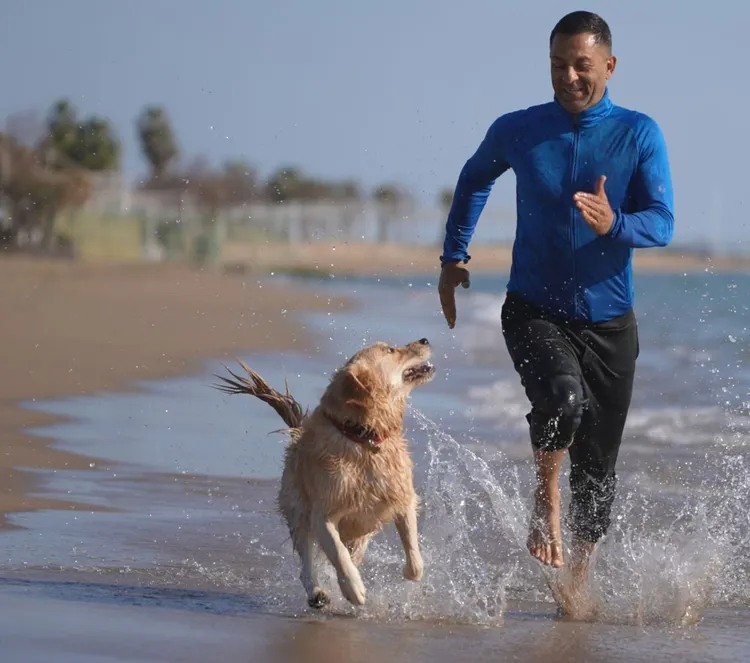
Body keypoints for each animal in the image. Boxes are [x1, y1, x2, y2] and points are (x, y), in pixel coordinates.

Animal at [214, 340, 438, 608]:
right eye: (390, 351)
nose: (425, 340)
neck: (362, 439)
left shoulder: (403, 498)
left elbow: (413, 551)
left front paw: (409, 572)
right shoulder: (322, 515)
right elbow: (338, 554)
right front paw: (353, 588)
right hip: (298, 511)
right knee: (307, 565)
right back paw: (317, 592)